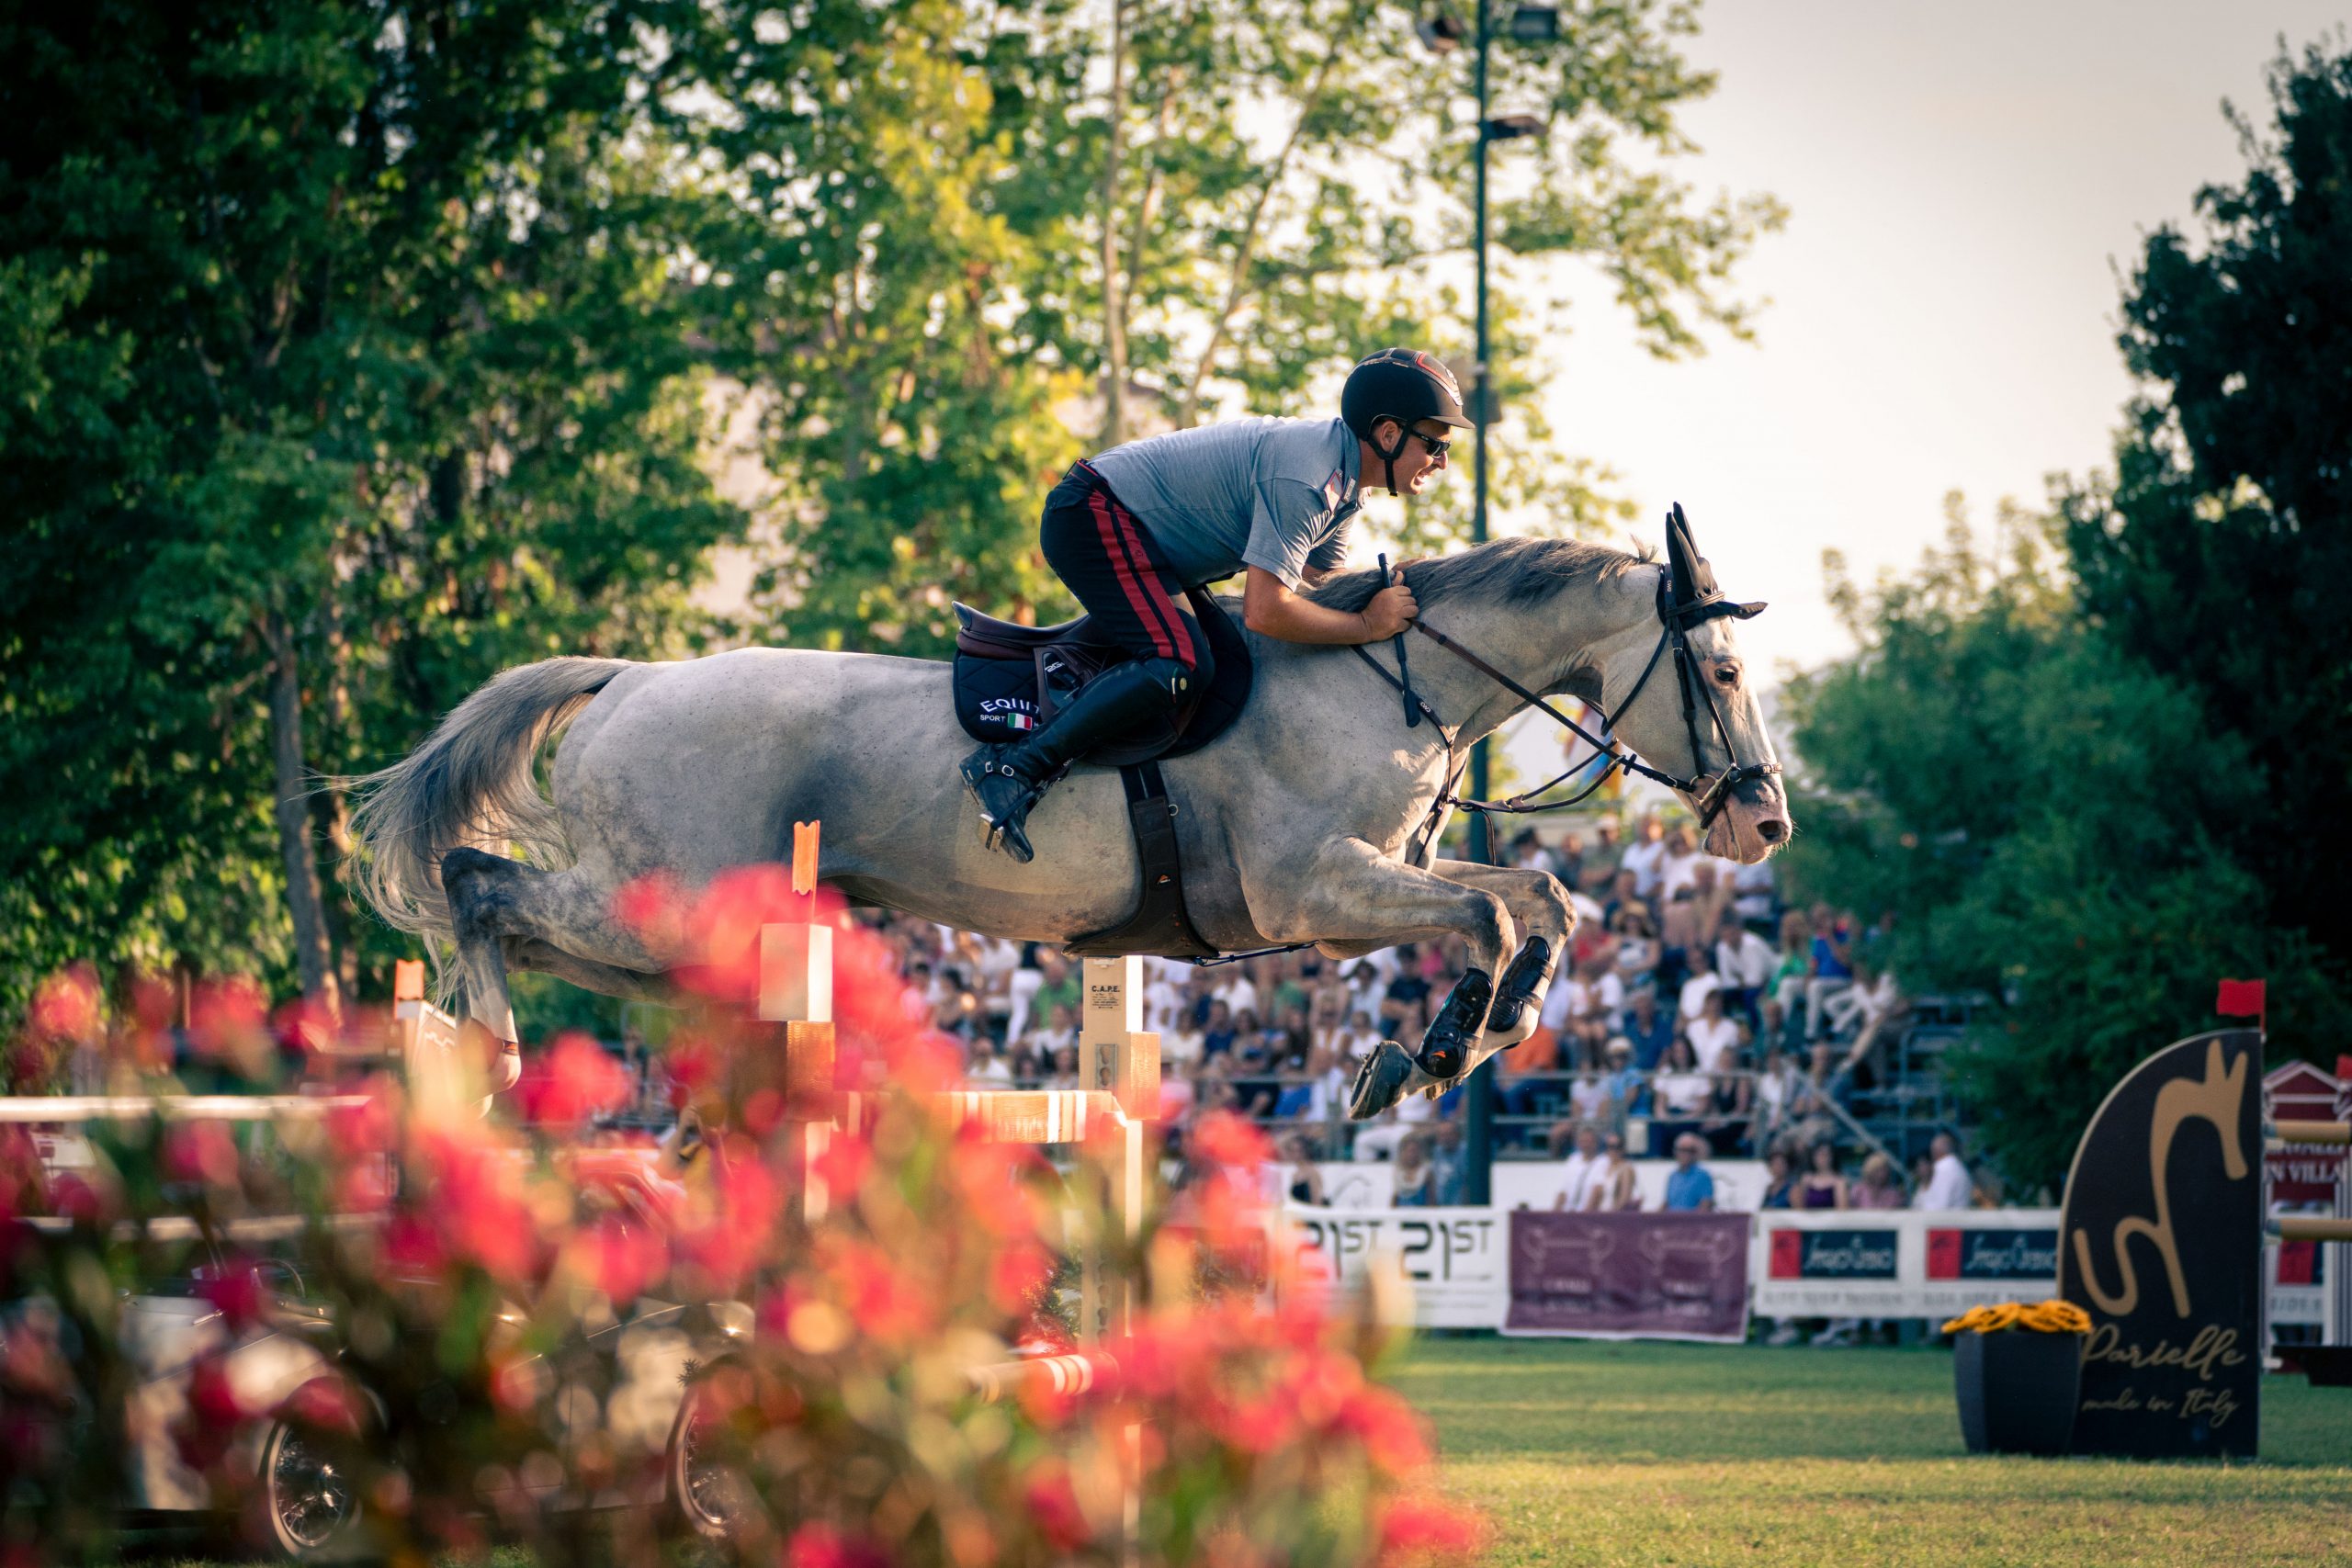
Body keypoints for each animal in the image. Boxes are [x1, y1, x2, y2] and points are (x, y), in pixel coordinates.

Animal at [343, 514, 1778, 1114]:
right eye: (1720, 673)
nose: (1766, 826)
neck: (1388, 675)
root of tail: (633, 676)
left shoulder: (1365, 884)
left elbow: (1537, 899)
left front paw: (1470, 1040)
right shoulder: (1316, 887)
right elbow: (1495, 915)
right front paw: (1423, 1052)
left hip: (678, 936)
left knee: (510, 912)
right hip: (664, 906)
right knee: (476, 884)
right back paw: (492, 1058)